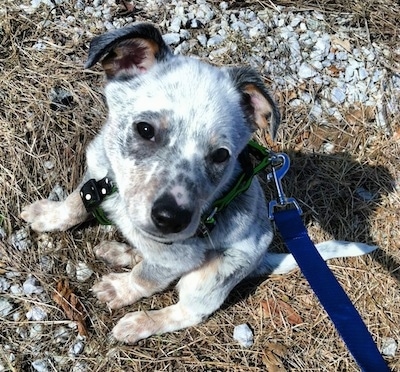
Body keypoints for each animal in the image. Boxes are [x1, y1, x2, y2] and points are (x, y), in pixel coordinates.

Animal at [21, 22, 378, 342]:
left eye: (221, 155)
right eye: (145, 129)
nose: (172, 219)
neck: (120, 191)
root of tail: (262, 258)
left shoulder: (180, 256)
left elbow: (145, 279)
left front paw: (120, 290)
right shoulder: (96, 174)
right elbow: (75, 203)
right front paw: (49, 216)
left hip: (210, 277)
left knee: (189, 312)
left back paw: (140, 322)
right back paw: (121, 250)